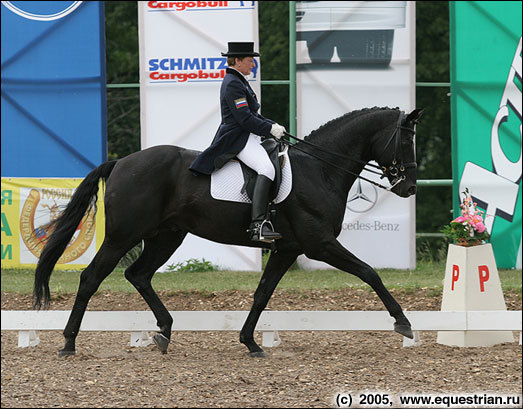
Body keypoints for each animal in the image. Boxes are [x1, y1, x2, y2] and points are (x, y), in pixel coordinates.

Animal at [32, 106, 424, 356]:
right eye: (406, 141)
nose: (409, 187)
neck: (320, 170)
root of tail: (120, 163)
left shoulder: (288, 249)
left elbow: (262, 293)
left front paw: (250, 342)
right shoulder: (319, 244)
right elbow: (369, 273)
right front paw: (404, 324)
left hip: (167, 235)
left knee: (138, 274)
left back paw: (164, 331)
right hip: (122, 236)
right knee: (91, 277)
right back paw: (68, 343)